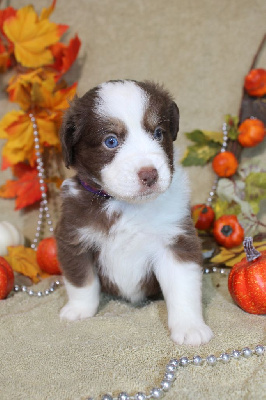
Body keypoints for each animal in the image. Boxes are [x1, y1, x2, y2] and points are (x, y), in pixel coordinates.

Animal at [55, 79, 213, 346]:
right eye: (110, 141)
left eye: (158, 133)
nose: (149, 175)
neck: (125, 205)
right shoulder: (73, 237)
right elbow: (82, 281)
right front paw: (79, 310)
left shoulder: (176, 239)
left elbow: (183, 287)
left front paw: (191, 327)